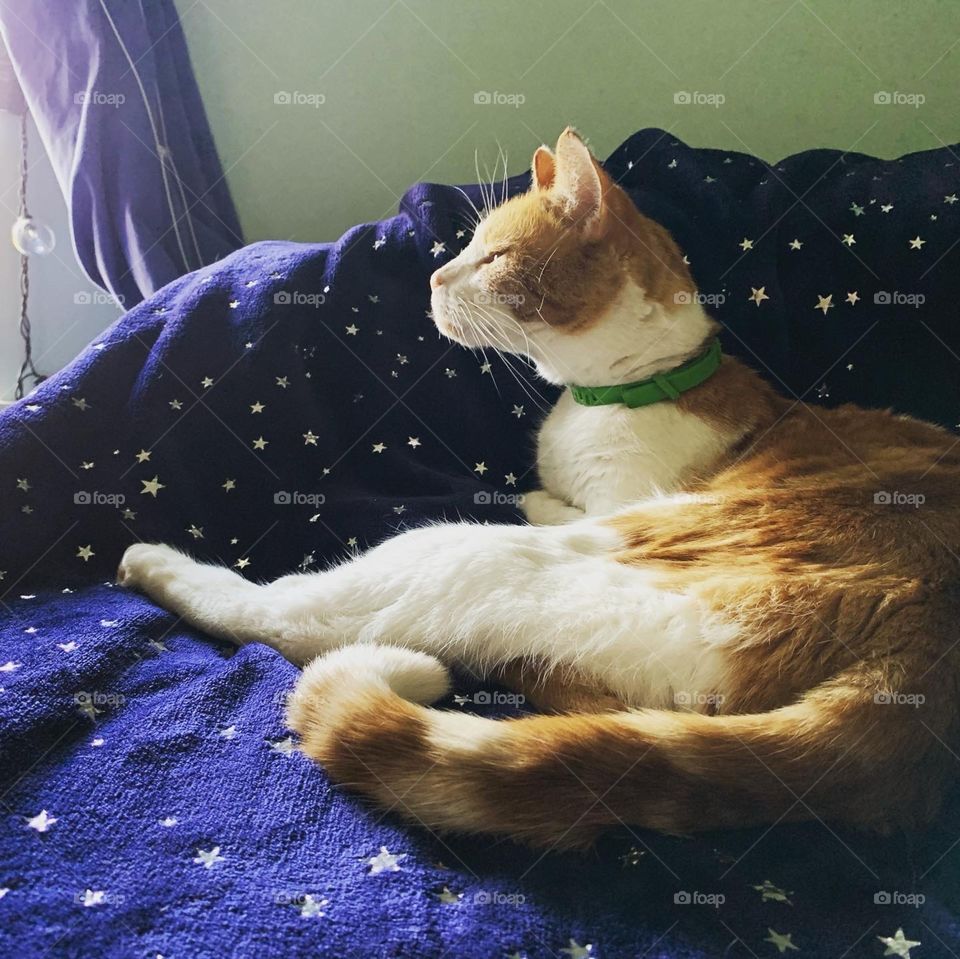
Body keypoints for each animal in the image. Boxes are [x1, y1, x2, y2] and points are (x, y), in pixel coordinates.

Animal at [118, 125, 960, 848]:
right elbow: (544, 492)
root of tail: (914, 683)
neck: (615, 393)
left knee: (283, 617)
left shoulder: (623, 501)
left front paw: (529, 495)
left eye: (492, 258)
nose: (432, 275)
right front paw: (533, 489)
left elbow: (552, 503)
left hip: (471, 556)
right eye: (463, 247)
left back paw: (157, 563)